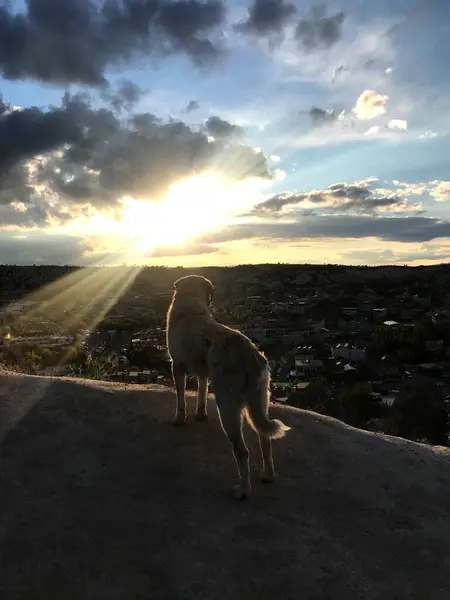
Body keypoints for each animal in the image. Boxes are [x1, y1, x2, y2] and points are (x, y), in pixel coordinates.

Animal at [167, 274, 290, 500]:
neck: (190, 301)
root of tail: (252, 356)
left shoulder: (177, 366)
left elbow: (181, 398)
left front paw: (179, 419)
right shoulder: (204, 373)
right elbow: (201, 393)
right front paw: (200, 414)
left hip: (228, 405)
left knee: (242, 451)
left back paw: (243, 489)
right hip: (259, 400)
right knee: (265, 437)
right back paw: (268, 475)